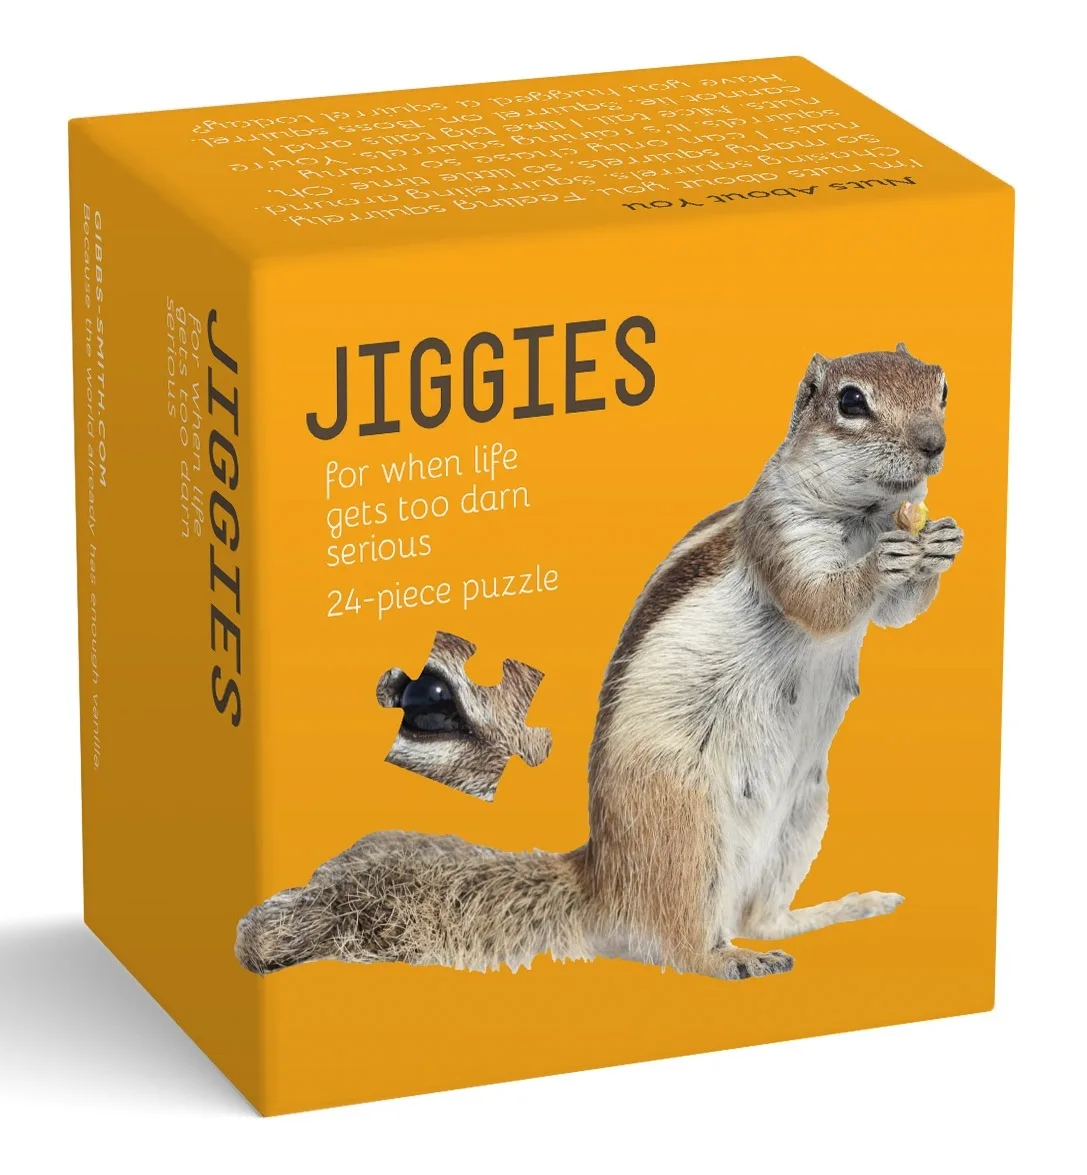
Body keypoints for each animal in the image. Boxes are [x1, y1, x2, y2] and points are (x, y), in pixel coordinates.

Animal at [236, 343, 963, 981]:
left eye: (942, 387)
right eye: (850, 401)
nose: (934, 444)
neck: (865, 516)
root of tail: (603, 883)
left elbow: (897, 614)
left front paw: (942, 543)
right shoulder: (777, 533)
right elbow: (819, 602)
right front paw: (881, 563)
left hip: (803, 815)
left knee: (759, 915)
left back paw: (837, 910)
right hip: (681, 818)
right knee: (681, 940)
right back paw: (728, 957)